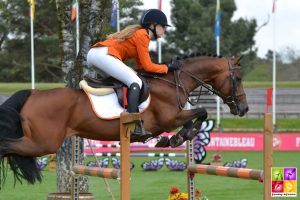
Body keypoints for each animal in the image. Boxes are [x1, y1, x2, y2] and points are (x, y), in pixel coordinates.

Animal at [0, 53, 248, 188]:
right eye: (237, 78)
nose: (244, 108)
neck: (173, 83)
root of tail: (33, 94)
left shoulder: (174, 117)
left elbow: (196, 117)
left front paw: (172, 140)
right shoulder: (169, 119)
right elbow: (201, 112)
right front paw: (179, 137)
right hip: (42, 143)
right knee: (5, 146)